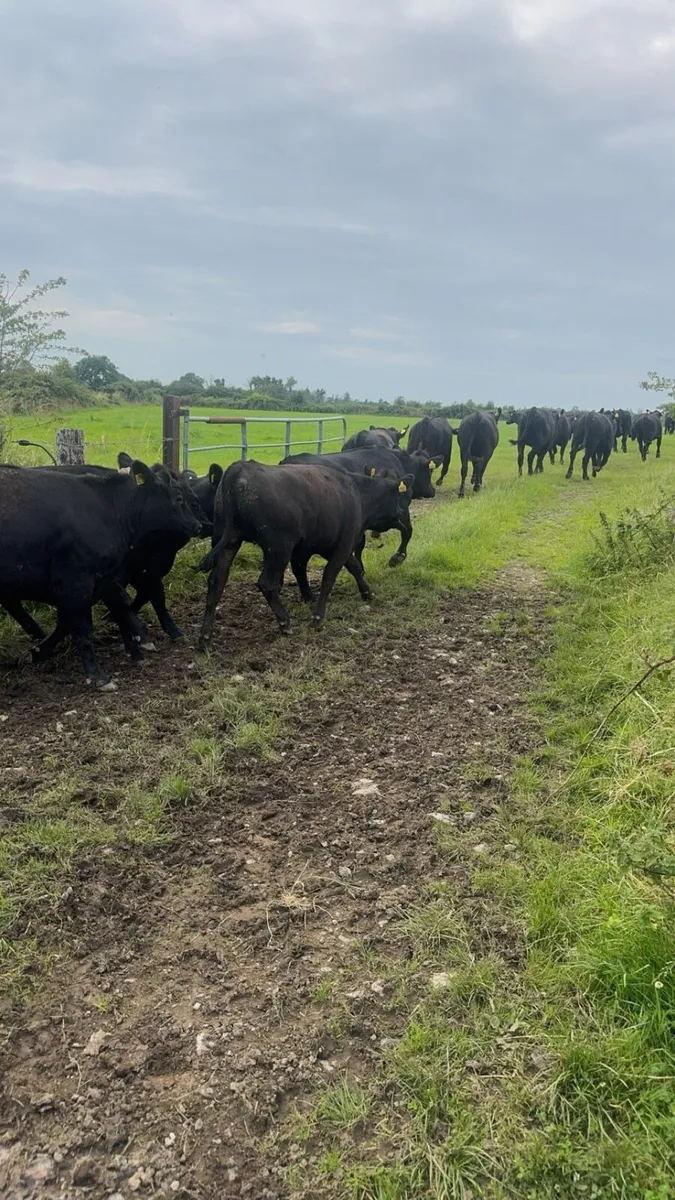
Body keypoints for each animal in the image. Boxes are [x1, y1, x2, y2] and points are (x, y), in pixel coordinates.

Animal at [0, 462, 202, 687]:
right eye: (180, 498)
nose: (198, 525)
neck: (109, 510)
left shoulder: (107, 577)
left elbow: (120, 607)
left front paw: (136, 651)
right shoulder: (78, 582)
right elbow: (83, 628)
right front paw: (98, 675)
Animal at [198, 461, 414, 646]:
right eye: (400, 497)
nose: (402, 518)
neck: (358, 494)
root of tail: (238, 469)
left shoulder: (319, 547)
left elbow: (351, 567)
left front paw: (366, 592)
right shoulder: (342, 545)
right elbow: (329, 578)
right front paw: (318, 617)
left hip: (227, 541)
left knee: (216, 582)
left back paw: (205, 635)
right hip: (278, 549)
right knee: (267, 584)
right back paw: (284, 622)